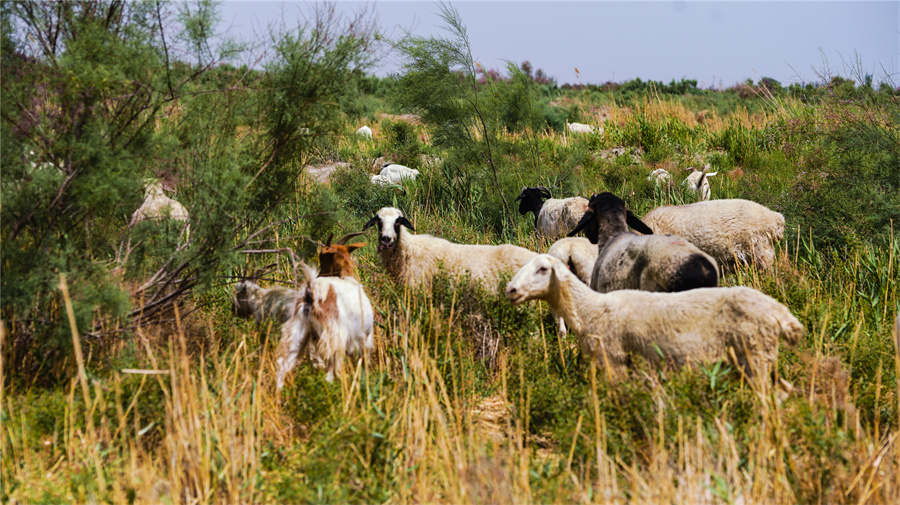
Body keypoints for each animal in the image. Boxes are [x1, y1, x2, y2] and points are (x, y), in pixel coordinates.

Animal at [502, 254, 804, 380]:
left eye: (543, 269)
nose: (511, 290)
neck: (590, 309)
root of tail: (781, 313)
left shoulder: (614, 361)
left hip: (756, 357)